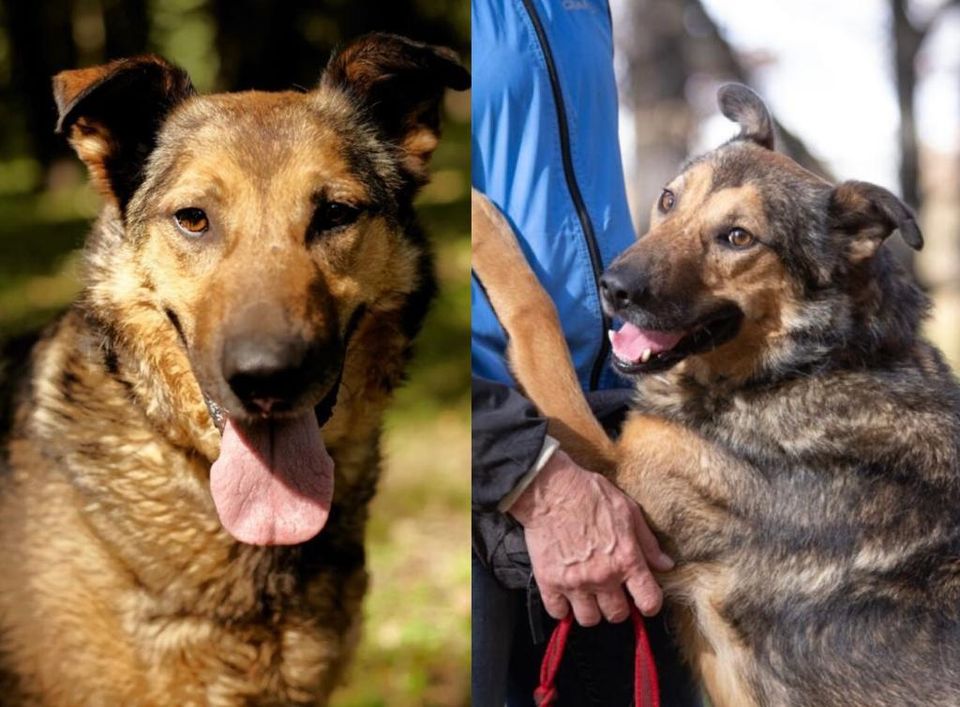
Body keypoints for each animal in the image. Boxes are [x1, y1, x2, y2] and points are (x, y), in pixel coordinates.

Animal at [474, 87, 960, 707]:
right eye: (667, 199)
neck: (810, 362)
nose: (613, 288)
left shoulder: (620, 497)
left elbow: (538, 319)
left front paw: (481, 222)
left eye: (738, 237)